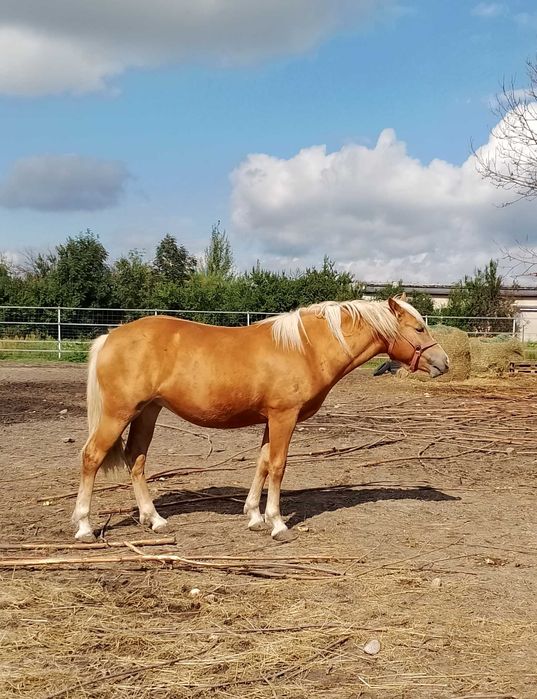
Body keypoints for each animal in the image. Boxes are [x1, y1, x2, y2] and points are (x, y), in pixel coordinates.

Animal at [72, 298, 448, 544]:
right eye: (419, 327)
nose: (444, 362)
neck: (306, 348)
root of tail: (110, 337)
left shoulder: (271, 419)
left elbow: (263, 463)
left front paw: (253, 516)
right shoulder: (285, 416)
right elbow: (278, 466)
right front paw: (277, 524)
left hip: (148, 411)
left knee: (136, 459)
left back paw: (155, 519)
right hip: (118, 414)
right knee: (92, 457)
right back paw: (84, 526)